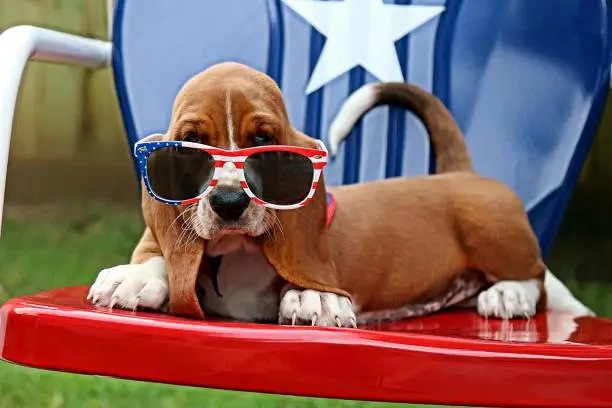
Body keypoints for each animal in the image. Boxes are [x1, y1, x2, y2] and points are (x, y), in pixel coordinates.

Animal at [87, 62, 592, 326]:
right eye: (191, 144)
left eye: (264, 142)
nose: (229, 203)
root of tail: (459, 173)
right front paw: (136, 276)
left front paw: (316, 296)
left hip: (493, 229)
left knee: (536, 277)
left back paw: (509, 294)